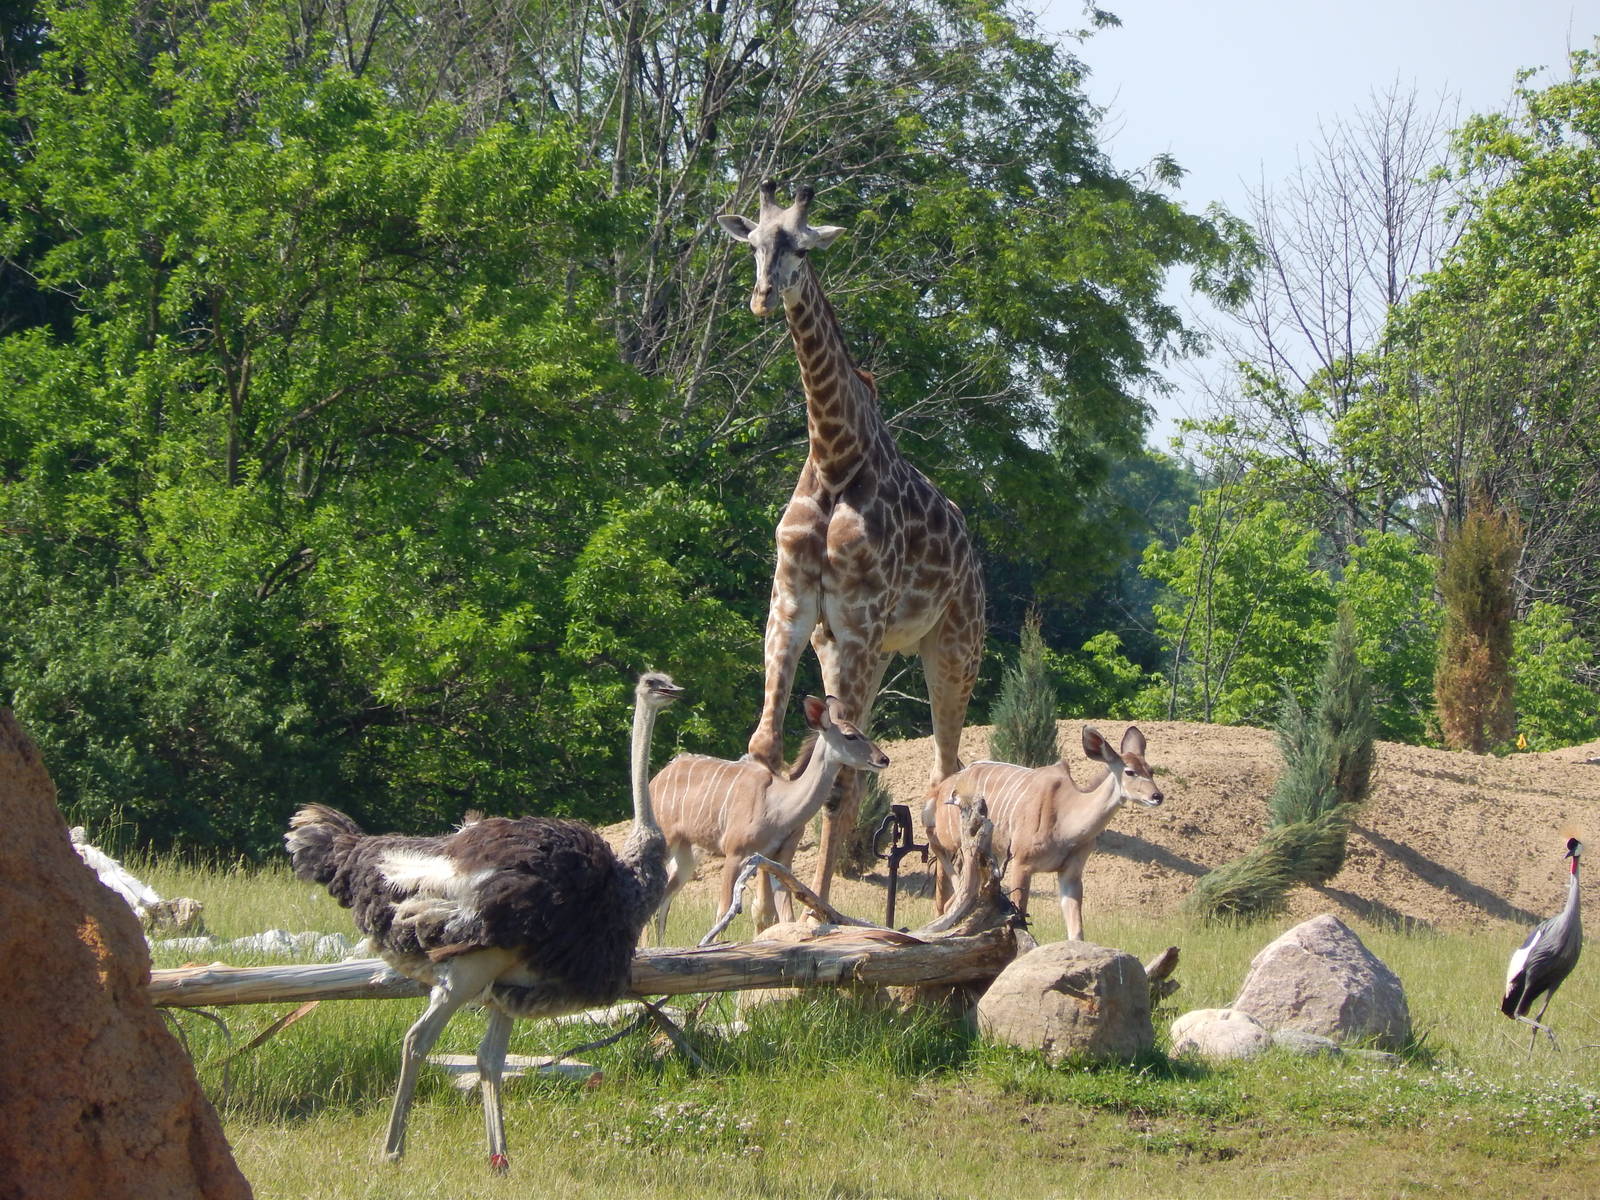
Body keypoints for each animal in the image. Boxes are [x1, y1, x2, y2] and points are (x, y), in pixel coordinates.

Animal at [718, 178, 986, 903]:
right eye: (754, 244)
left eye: (803, 247)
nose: (762, 296)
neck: (835, 458)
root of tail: (975, 562)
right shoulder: (791, 609)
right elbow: (769, 752)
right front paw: (763, 908)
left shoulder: (861, 621)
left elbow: (839, 782)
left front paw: (812, 913)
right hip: (856, 649)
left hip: (951, 651)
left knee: (944, 772)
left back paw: (949, 910)